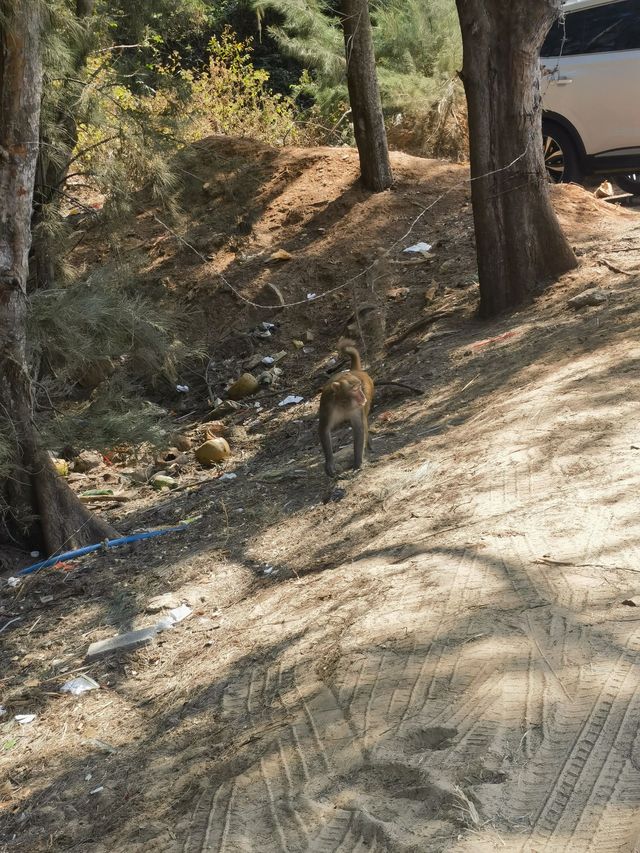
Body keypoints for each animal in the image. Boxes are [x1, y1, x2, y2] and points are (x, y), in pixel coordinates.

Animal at [320, 336, 376, 476]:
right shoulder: (327, 405)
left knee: (364, 420)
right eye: (354, 389)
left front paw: (358, 462)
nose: (362, 397)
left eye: (360, 387)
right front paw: (330, 463)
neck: (343, 403)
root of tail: (354, 371)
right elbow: (324, 429)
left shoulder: (357, 408)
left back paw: (368, 444)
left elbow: (359, 427)